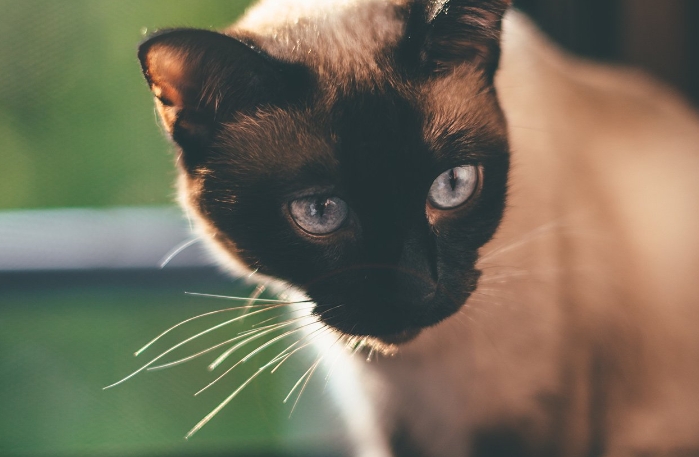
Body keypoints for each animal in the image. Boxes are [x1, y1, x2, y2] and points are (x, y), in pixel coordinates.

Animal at [134, 0, 699, 456]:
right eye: (320, 210)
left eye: (452, 185)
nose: (416, 289)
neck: (416, 371)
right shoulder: (398, 430)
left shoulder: (535, 419)